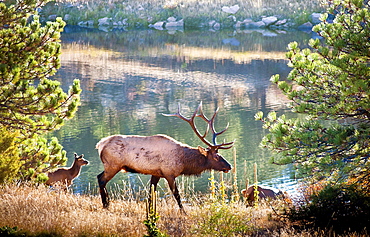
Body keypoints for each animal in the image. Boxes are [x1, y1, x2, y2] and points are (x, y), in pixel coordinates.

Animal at [95, 102, 234, 209]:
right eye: (216, 157)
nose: (229, 166)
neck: (184, 163)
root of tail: (100, 144)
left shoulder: (156, 173)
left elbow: (151, 194)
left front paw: (151, 212)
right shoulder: (169, 173)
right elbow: (177, 195)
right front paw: (183, 212)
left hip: (111, 166)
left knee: (99, 177)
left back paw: (107, 203)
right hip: (113, 165)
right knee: (101, 179)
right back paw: (105, 205)